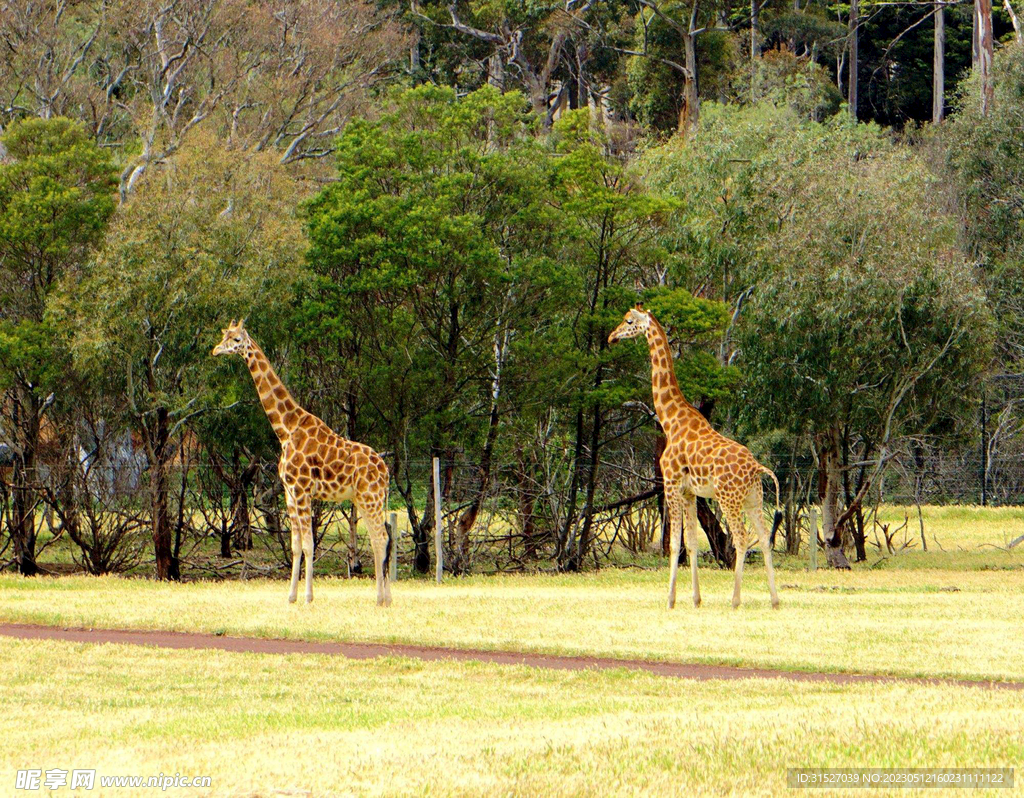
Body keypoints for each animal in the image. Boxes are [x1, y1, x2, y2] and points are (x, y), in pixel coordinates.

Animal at [211, 317, 391, 606]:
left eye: (236, 340)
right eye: (224, 335)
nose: (216, 350)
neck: (286, 429)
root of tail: (386, 470)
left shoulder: (302, 490)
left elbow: (308, 544)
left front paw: (308, 597)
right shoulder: (289, 493)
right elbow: (296, 545)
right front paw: (292, 596)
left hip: (370, 497)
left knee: (381, 538)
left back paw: (380, 599)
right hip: (363, 498)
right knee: (380, 538)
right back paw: (386, 598)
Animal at [606, 303, 782, 610]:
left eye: (628, 321)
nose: (611, 337)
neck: (670, 420)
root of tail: (757, 467)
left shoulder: (671, 484)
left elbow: (675, 544)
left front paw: (670, 600)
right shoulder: (690, 493)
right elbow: (691, 543)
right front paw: (696, 599)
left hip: (728, 498)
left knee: (740, 538)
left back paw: (735, 600)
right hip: (754, 499)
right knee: (763, 539)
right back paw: (774, 600)